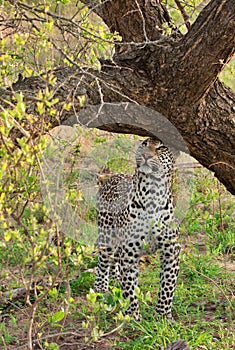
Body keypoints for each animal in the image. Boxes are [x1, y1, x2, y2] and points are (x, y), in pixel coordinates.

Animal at [93, 137, 180, 320]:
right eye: (144, 144)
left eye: (161, 147)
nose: (146, 155)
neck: (153, 193)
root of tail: (112, 176)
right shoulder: (129, 250)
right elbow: (129, 288)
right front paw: (133, 316)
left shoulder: (171, 249)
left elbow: (168, 285)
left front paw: (163, 315)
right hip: (107, 234)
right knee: (103, 260)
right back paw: (101, 288)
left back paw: (116, 280)